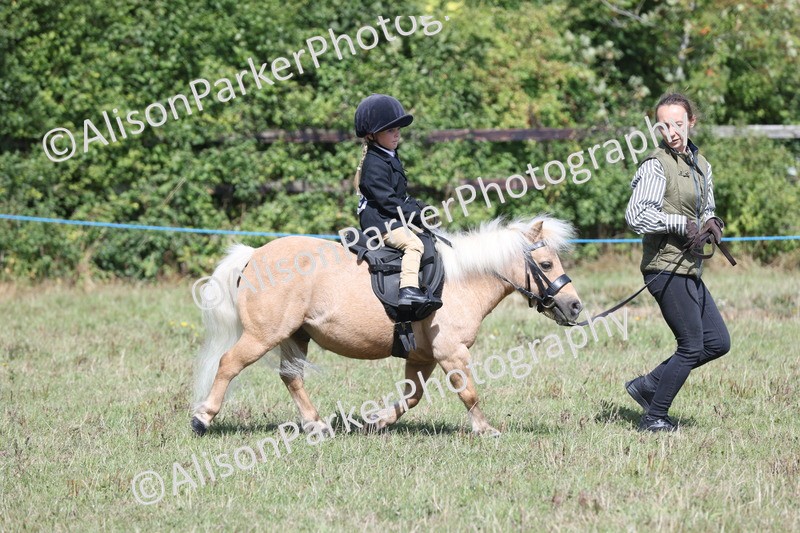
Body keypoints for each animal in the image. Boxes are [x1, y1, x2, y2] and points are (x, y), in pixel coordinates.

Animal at [191, 215, 583, 437]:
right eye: (546, 264)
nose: (575, 305)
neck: (460, 280)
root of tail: (254, 255)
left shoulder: (423, 356)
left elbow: (412, 396)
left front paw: (376, 422)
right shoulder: (451, 352)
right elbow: (468, 392)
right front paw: (485, 429)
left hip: (295, 336)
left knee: (292, 379)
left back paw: (317, 425)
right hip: (262, 336)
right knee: (229, 364)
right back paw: (202, 419)